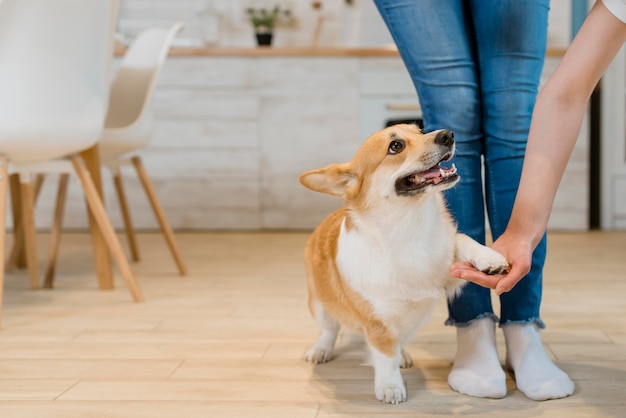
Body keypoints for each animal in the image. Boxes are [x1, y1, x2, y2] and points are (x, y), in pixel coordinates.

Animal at [298, 125, 508, 404]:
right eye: (395, 146)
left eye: (419, 131)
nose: (448, 134)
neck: (409, 226)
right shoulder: (379, 324)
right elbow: (386, 356)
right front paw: (390, 386)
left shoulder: (446, 268)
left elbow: (461, 239)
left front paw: (489, 257)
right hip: (320, 303)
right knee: (329, 329)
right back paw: (321, 350)